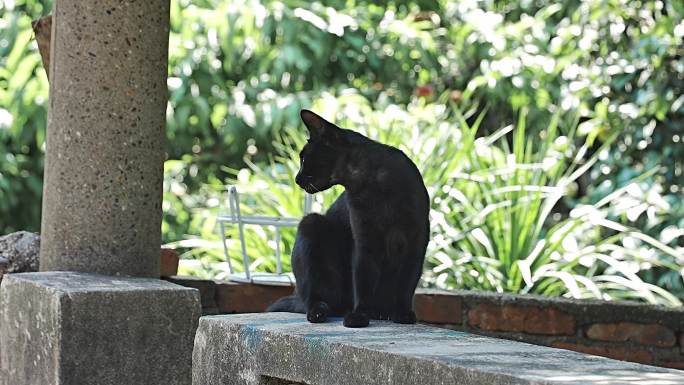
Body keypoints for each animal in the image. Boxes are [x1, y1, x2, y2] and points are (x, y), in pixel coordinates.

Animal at [266, 109, 430, 328]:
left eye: (303, 159)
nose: (297, 179)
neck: (373, 184)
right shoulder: (364, 241)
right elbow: (362, 280)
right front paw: (358, 315)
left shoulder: (415, 242)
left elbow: (407, 283)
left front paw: (403, 314)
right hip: (310, 225)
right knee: (314, 296)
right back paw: (321, 312)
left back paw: (382, 313)